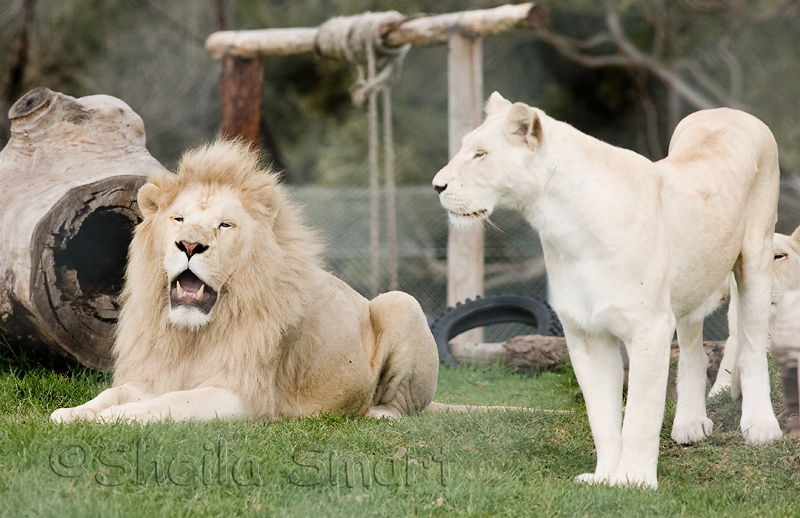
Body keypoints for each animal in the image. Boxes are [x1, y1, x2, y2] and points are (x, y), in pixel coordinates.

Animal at [50, 140, 440, 424]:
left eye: (225, 225)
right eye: (178, 219)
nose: (189, 245)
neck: (193, 335)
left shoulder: (245, 396)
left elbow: (171, 402)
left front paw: (115, 417)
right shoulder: (153, 375)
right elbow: (112, 393)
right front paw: (73, 413)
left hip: (402, 303)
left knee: (402, 406)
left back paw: (376, 414)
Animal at [432, 94, 780, 492]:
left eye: (480, 154)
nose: (437, 186)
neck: (563, 227)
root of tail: (728, 111)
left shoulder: (648, 328)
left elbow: (640, 414)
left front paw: (635, 480)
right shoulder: (585, 333)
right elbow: (601, 414)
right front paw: (604, 477)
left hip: (756, 257)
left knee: (752, 346)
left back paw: (761, 427)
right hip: (691, 283)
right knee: (695, 354)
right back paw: (689, 425)